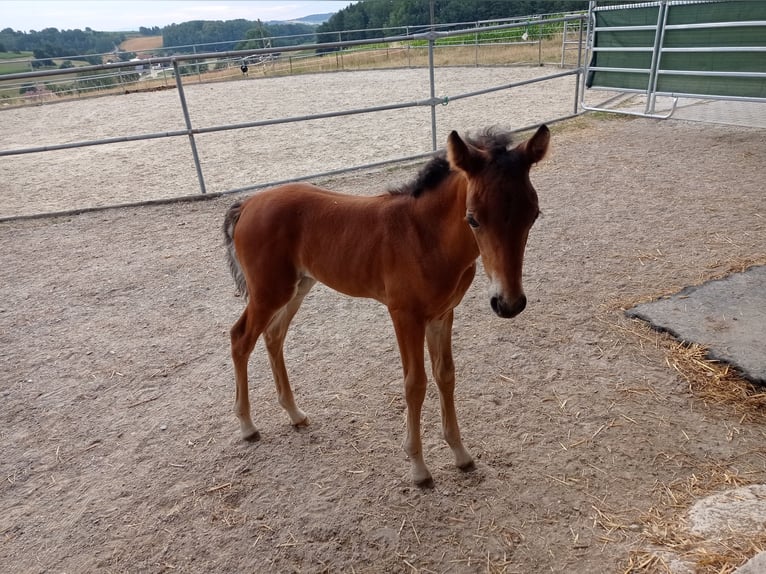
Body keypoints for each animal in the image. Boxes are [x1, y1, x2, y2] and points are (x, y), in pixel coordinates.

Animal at [224, 126, 552, 490]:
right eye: (473, 219)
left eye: (533, 215)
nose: (508, 303)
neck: (425, 237)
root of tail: (248, 203)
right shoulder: (404, 316)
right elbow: (415, 384)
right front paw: (419, 469)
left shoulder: (442, 314)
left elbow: (445, 375)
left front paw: (461, 455)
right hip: (268, 293)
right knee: (240, 339)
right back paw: (247, 426)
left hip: (298, 287)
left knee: (274, 336)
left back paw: (295, 414)